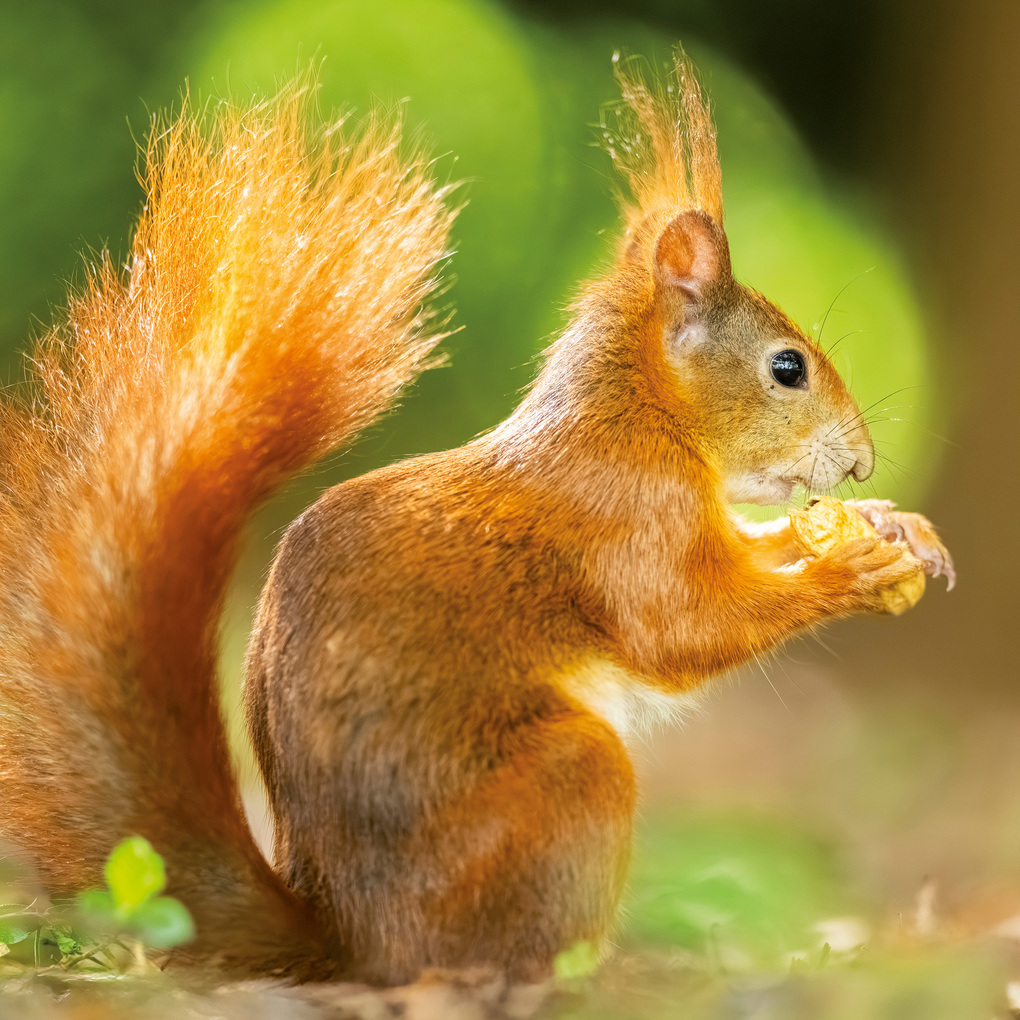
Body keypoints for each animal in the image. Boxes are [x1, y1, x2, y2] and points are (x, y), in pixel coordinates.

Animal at [0, 54, 952, 986]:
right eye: (788, 368)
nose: (863, 463)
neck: (639, 416)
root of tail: (351, 940)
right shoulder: (626, 519)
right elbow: (681, 628)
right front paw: (848, 570)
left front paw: (891, 526)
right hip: (569, 782)